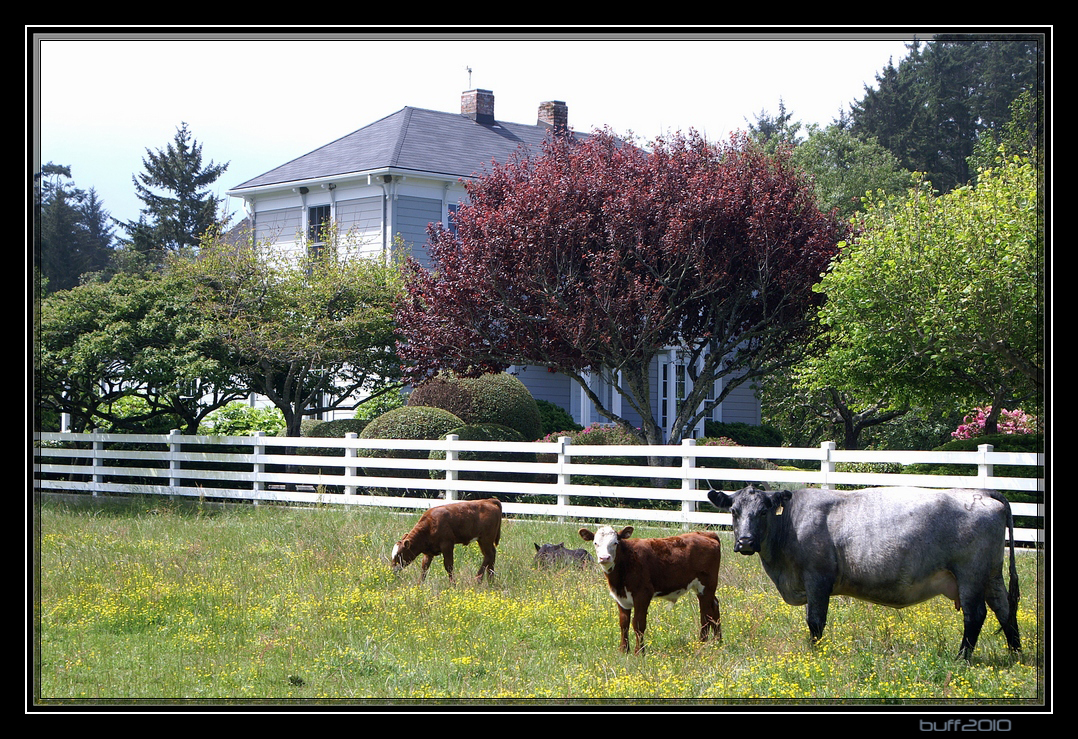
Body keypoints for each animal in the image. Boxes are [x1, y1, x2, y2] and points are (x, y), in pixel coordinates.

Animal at [577, 523, 720, 659]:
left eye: (615, 543)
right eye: (595, 543)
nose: (604, 558)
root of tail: (706, 534)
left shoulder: (643, 594)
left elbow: (638, 623)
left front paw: (639, 652)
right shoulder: (621, 597)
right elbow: (624, 623)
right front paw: (623, 651)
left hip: (706, 585)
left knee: (705, 614)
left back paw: (702, 644)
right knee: (714, 606)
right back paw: (718, 641)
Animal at [707, 486, 1017, 659]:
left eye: (763, 511)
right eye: (734, 511)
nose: (745, 542)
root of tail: (981, 492)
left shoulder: (817, 578)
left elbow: (815, 621)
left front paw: (814, 654)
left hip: (971, 575)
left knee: (976, 615)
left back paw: (962, 657)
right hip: (992, 575)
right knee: (1005, 610)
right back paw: (1015, 653)